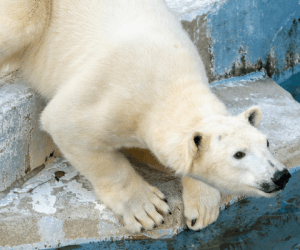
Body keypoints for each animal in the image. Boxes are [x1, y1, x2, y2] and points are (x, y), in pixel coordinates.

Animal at [0, 0, 290, 232]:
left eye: (266, 143)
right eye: (238, 154)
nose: (281, 175)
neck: (169, 84)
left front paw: (202, 209)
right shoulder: (109, 98)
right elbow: (67, 126)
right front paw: (147, 209)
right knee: (22, 24)